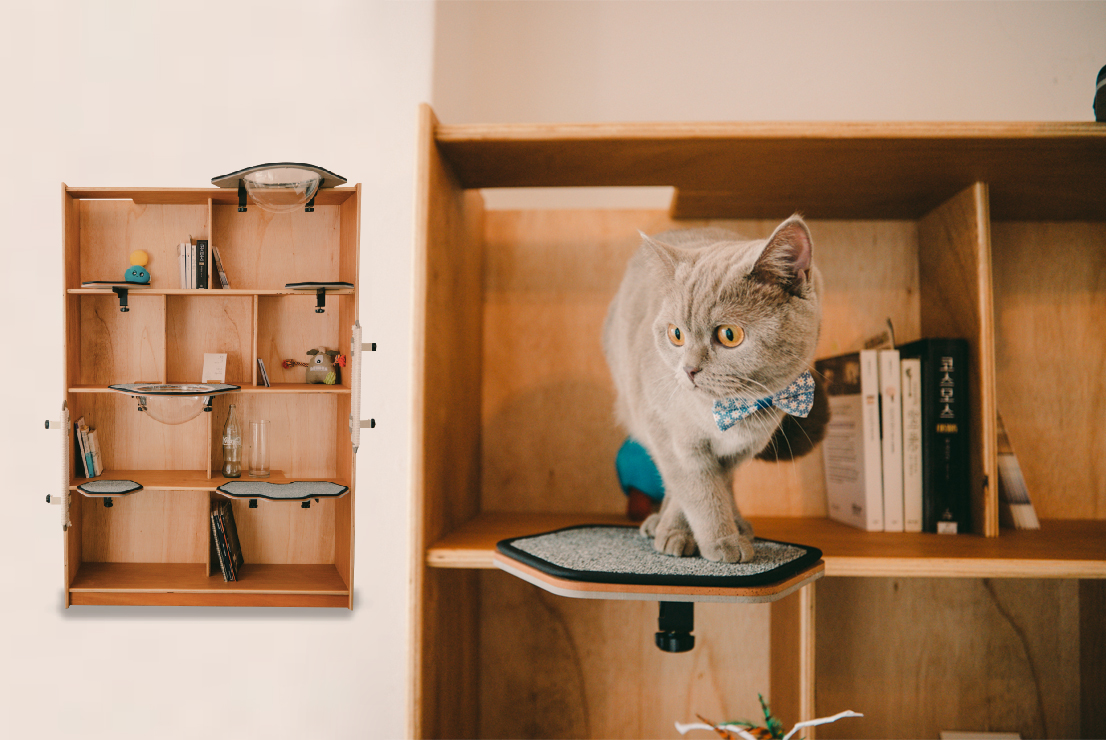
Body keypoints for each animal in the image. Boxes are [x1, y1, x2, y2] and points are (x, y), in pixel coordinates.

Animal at [606, 216, 822, 561]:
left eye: (729, 334)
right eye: (676, 334)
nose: (688, 369)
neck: (731, 408)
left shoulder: (741, 449)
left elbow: (717, 485)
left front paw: (718, 531)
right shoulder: (671, 436)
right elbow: (697, 490)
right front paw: (714, 540)